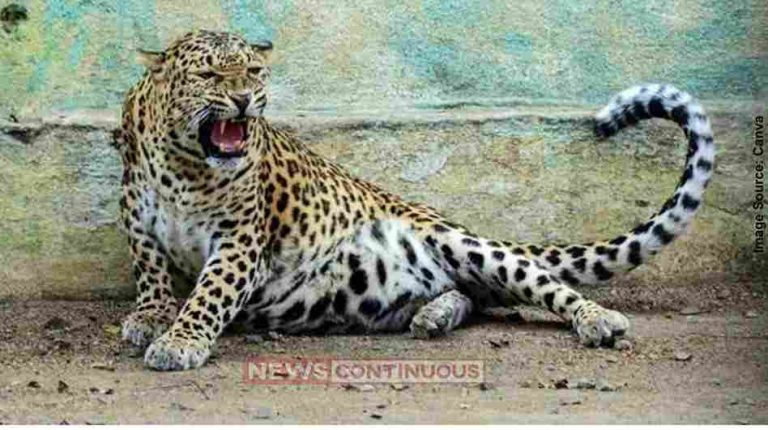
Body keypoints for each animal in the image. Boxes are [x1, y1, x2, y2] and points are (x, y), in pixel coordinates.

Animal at [117, 30, 716, 371]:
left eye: (255, 71)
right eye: (208, 73)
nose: (245, 99)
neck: (185, 166)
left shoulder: (240, 239)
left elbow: (210, 294)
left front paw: (181, 340)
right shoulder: (137, 218)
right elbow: (150, 271)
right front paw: (152, 317)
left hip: (464, 245)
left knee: (543, 285)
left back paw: (598, 320)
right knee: (473, 296)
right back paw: (434, 316)